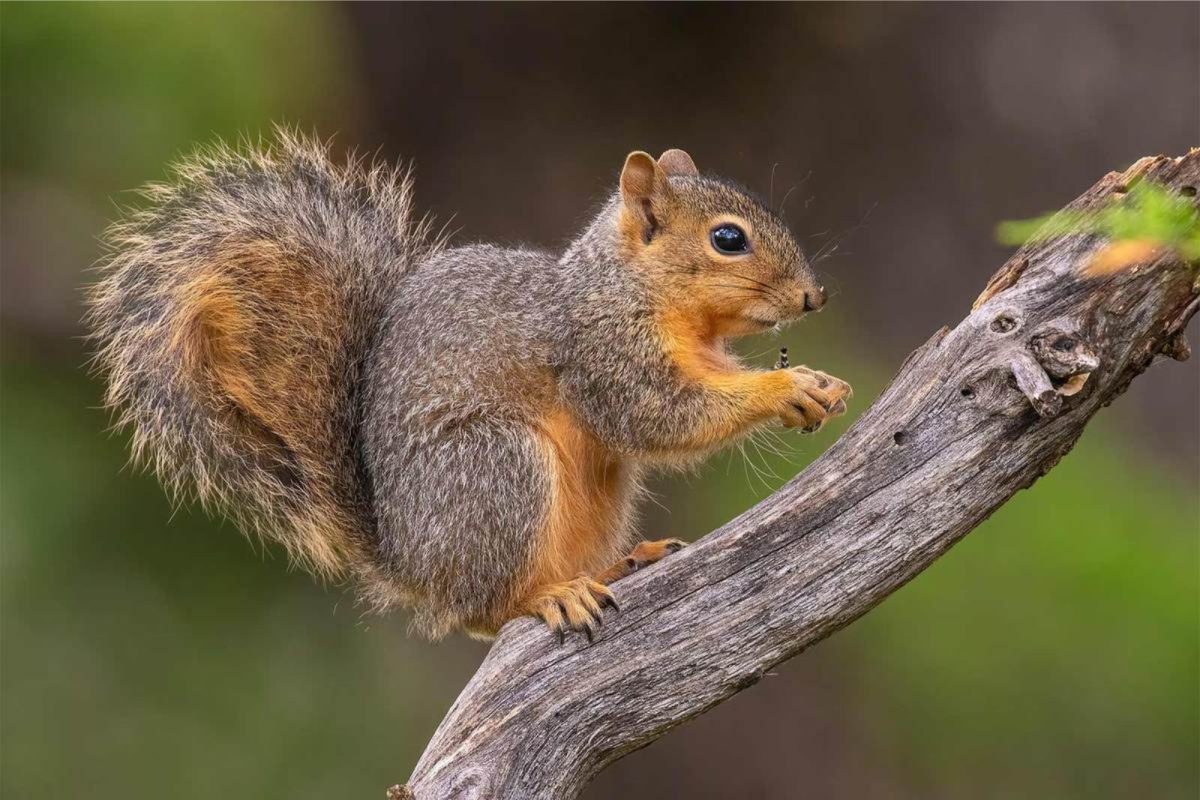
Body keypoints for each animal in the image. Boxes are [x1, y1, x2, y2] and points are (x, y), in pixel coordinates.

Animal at [87, 131, 854, 642]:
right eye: (728, 239)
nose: (814, 297)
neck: (632, 289)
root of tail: (411, 561)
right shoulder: (601, 354)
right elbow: (659, 415)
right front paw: (783, 388)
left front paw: (816, 381)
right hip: (494, 466)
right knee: (483, 614)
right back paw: (546, 598)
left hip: (597, 491)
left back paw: (620, 564)